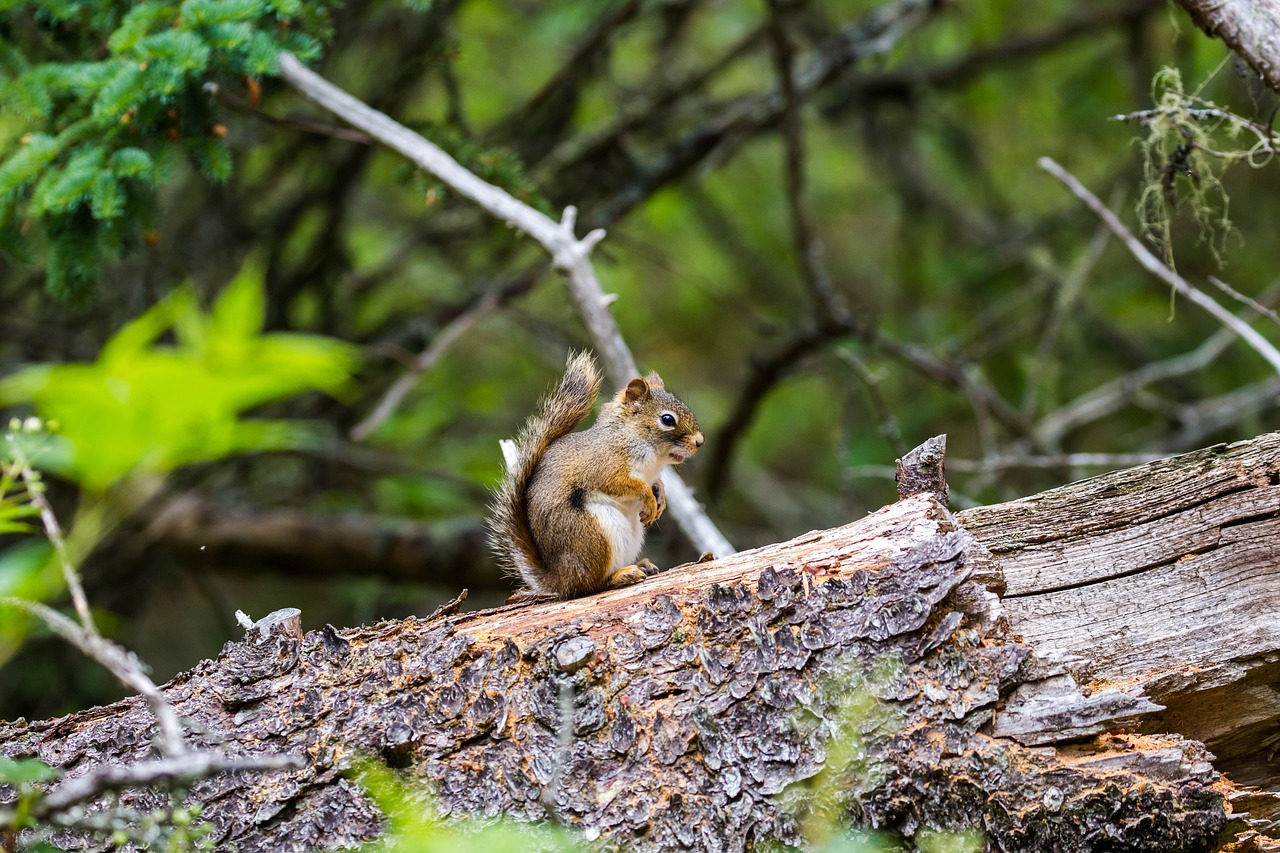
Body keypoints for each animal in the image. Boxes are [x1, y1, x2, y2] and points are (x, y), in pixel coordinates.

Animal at [488, 348, 706, 596]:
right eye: (667, 419)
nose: (700, 441)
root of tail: (560, 580)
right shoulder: (602, 465)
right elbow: (620, 483)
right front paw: (649, 497)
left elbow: (657, 483)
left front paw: (660, 498)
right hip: (595, 535)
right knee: (589, 585)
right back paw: (621, 576)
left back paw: (641, 565)